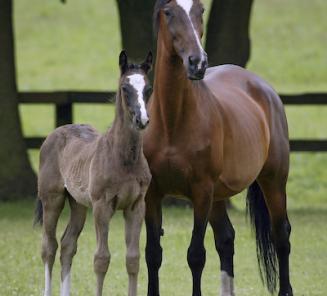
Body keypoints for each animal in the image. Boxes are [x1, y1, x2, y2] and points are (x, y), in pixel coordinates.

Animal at [35, 51, 153, 296]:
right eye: (125, 87)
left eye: (148, 88)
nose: (142, 120)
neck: (124, 159)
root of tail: (55, 132)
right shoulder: (102, 205)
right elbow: (101, 259)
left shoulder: (136, 206)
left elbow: (133, 259)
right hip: (52, 199)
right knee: (49, 247)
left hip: (78, 203)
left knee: (67, 245)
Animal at [145, 0, 294, 296]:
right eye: (169, 12)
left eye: (201, 10)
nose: (197, 62)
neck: (171, 122)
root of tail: (264, 88)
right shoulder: (151, 194)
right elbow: (153, 254)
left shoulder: (201, 192)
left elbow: (195, 255)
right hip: (219, 196)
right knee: (226, 239)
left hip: (273, 181)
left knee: (281, 235)